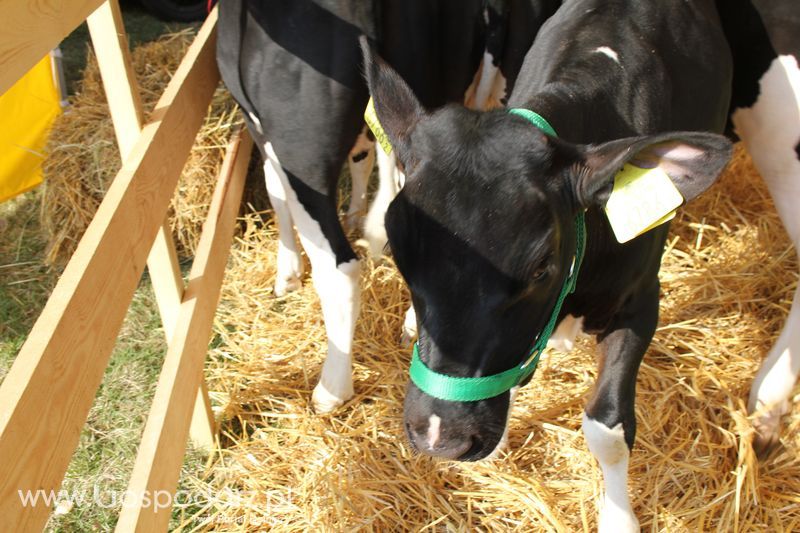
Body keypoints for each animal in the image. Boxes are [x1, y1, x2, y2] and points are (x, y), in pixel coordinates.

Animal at [366, 1, 736, 528]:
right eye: (400, 257)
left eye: (542, 266)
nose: (442, 437)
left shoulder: (643, 301)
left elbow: (608, 427)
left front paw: (618, 519)